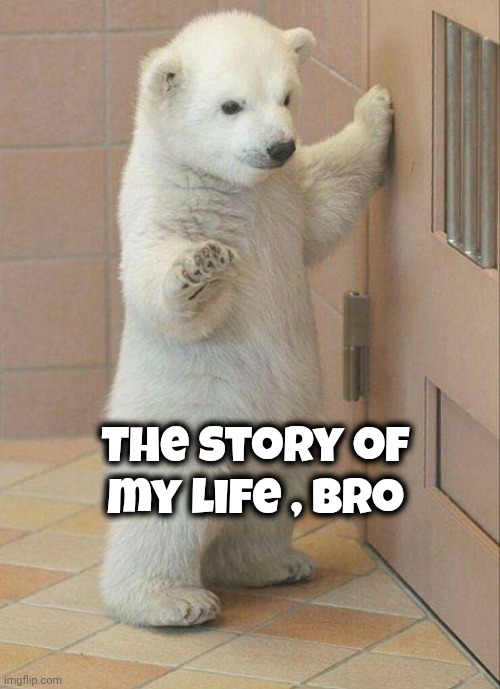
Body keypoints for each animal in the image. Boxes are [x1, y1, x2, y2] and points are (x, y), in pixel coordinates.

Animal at [102, 10, 393, 627]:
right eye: (230, 105)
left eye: (286, 96)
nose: (279, 146)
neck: (229, 188)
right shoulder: (162, 204)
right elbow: (155, 284)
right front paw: (200, 266)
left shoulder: (284, 199)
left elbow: (328, 192)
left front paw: (376, 106)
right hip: (187, 417)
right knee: (164, 517)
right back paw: (169, 600)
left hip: (290, 420)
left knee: (273, 498)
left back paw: (273, 564)